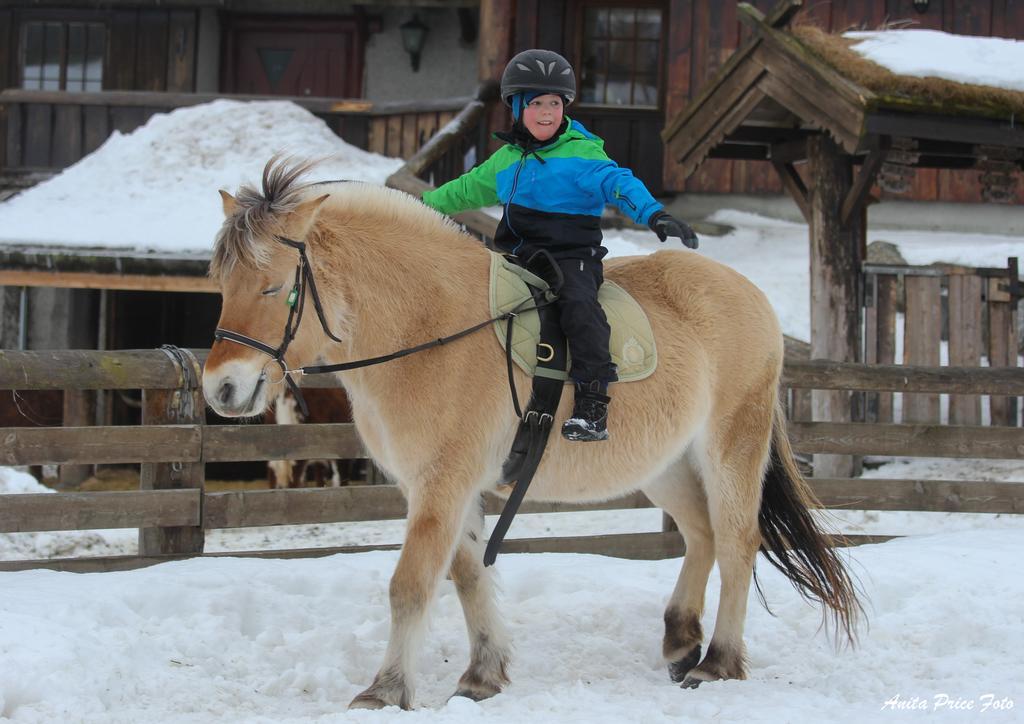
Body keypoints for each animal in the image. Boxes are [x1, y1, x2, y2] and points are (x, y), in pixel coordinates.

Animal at [203, 156, 860, 708]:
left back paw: (717, 662)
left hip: (731, 448)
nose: (221, 390)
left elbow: (411, 585)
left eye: (273, 286)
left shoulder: (442, 483)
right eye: (222, 286)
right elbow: (469, 575)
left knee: (736, 541)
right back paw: (680, 641)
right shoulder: (444, 488)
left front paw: (385, 692)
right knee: (699, 536)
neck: (429, 327)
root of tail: (748, 292)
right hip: (667, 464)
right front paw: (482, 675)